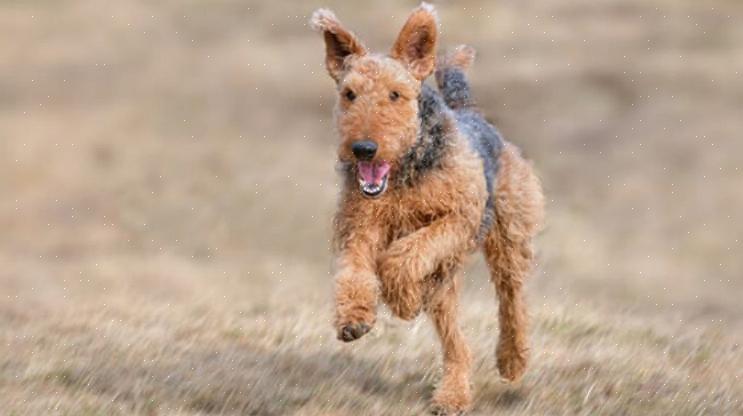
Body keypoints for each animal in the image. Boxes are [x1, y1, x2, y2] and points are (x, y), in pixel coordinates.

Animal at [310, 3, 544, 412]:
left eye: (395, 94)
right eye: (349, 93)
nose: (364, 149)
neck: (406, 172)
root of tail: (469, 111)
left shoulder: (459, 219)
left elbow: (404, 257)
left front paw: (401, 299)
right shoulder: (360, 226)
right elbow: (355, 271)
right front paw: (355, 317)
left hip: (507, 240)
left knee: (512, 301)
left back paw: (512, 360)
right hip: (447, 285)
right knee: (457, 346)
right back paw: (452, 394)